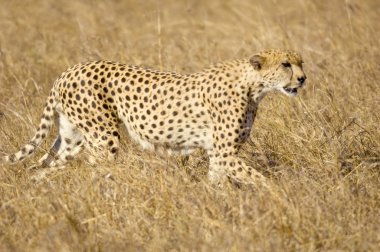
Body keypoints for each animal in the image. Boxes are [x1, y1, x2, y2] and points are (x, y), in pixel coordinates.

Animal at [2, 49, 306, 184]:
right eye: (286, 64)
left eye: (301, 62)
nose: (303, 78)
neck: (254, 86)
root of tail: (68, 70)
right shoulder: (225, 153)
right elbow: (261, 180)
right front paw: (281, 196)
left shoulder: (219, 155)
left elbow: (217, 183)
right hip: (103, 138)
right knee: (90, 167)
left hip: (73, 137)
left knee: (46, 166)